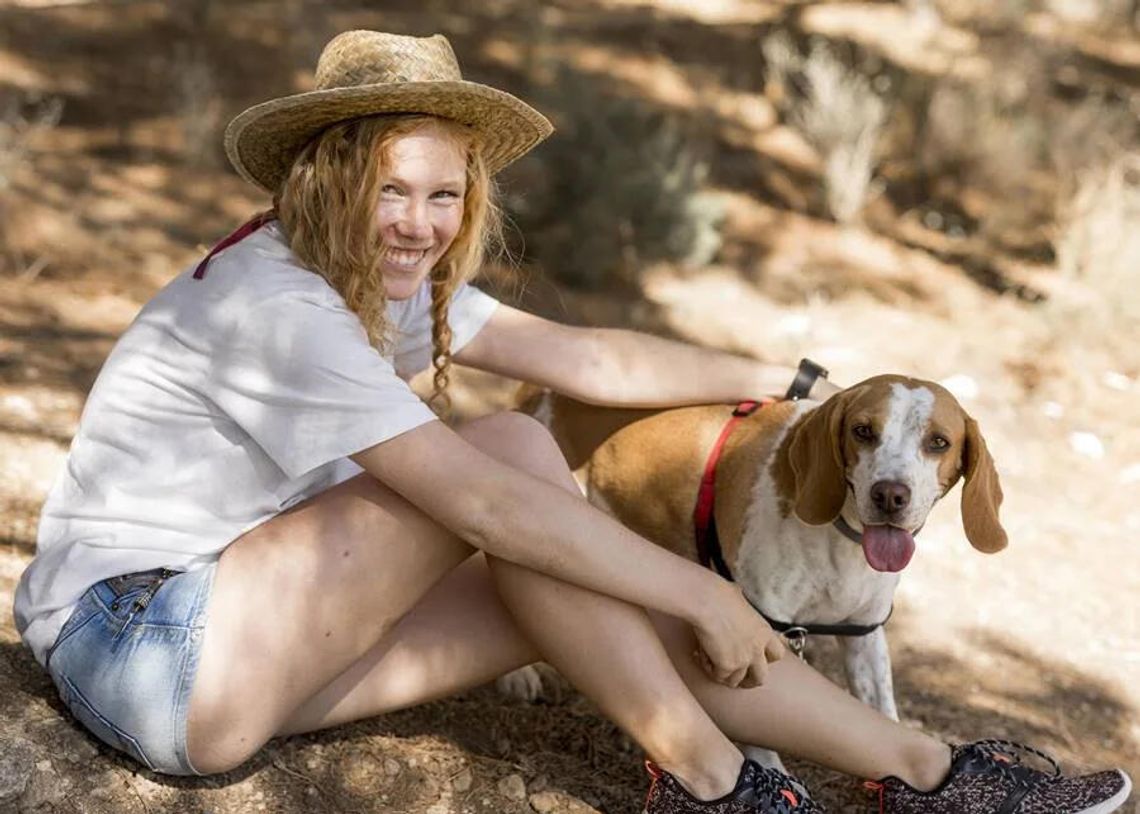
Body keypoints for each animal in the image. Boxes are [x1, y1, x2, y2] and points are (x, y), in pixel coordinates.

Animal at [508, 373, 1007, 734]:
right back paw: (517, 677)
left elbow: (883, 713)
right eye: (863, 431)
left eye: (938, 442)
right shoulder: (758, 628)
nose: (890, 495)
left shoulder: (863, 634)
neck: (839, 540)